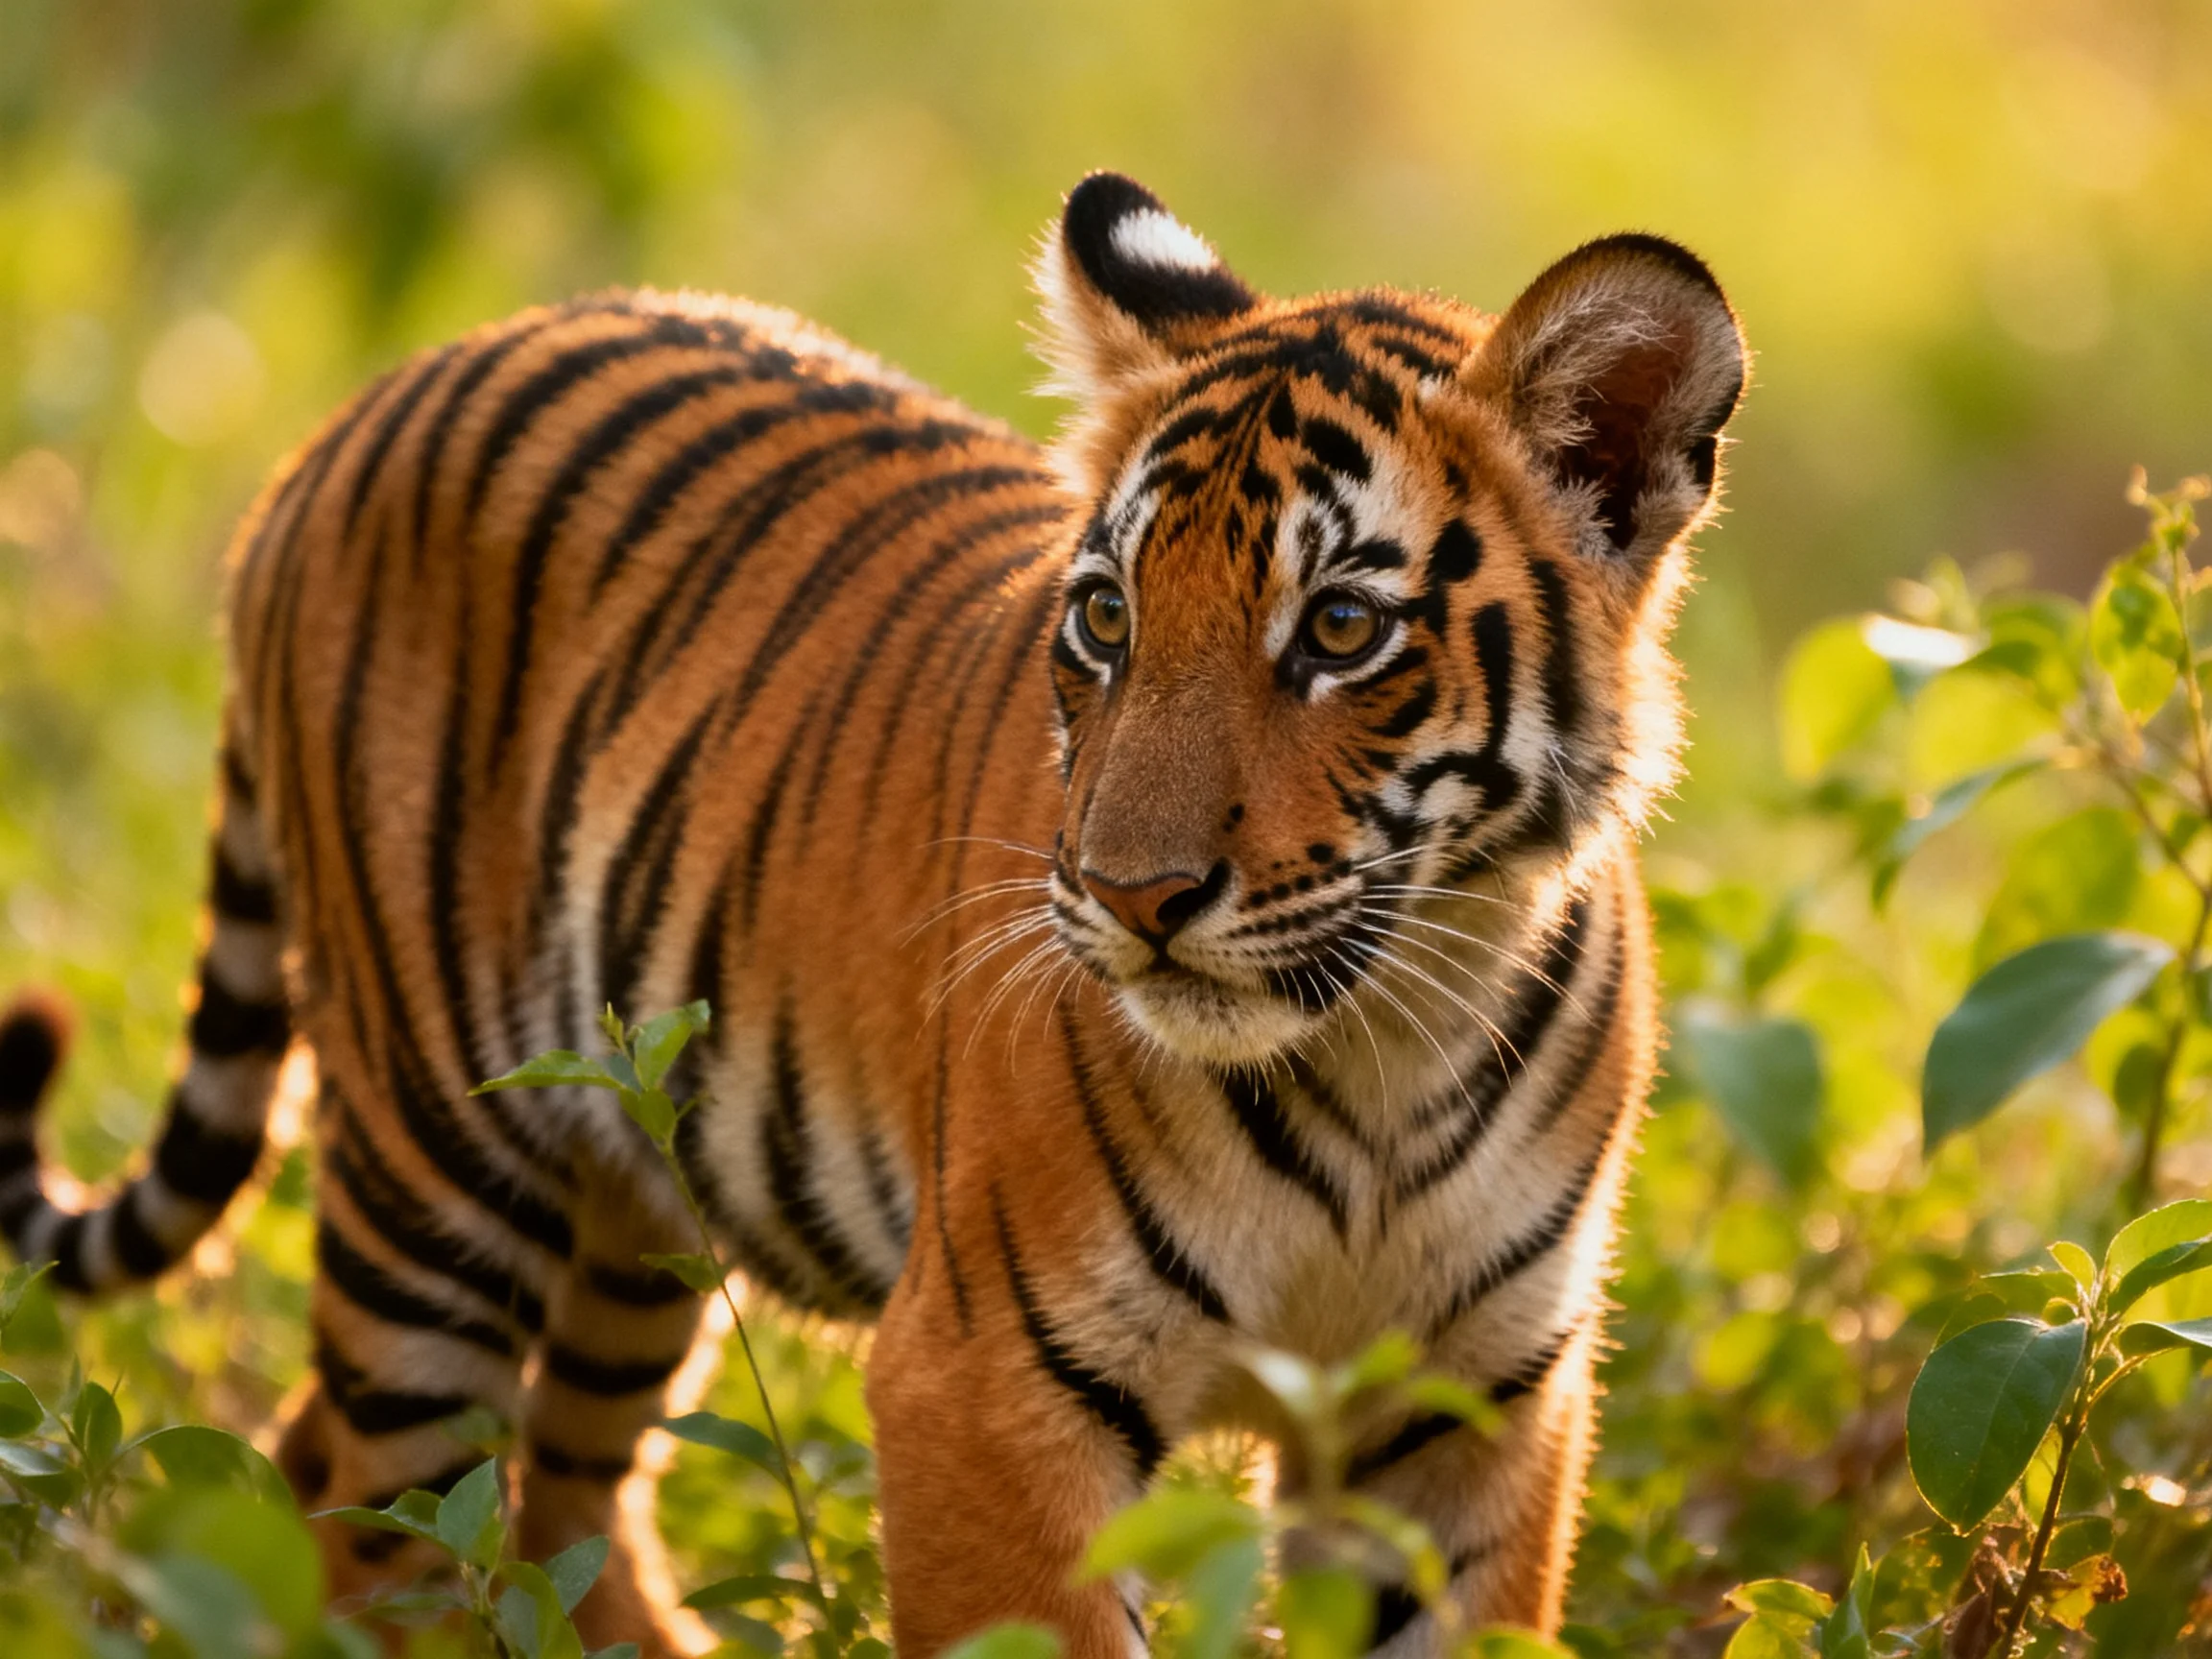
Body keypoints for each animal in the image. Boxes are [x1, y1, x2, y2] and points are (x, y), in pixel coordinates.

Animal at [0, 171, 1745, 1656]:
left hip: (636, 1202)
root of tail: (356, 412)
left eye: (1337, 630)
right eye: (1105, 618)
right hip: (435, 1164)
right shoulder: (985, 1382)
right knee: (379, 1515)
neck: (1388, 1042)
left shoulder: (1469, 1412)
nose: (1132, 896)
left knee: (544, 1491)